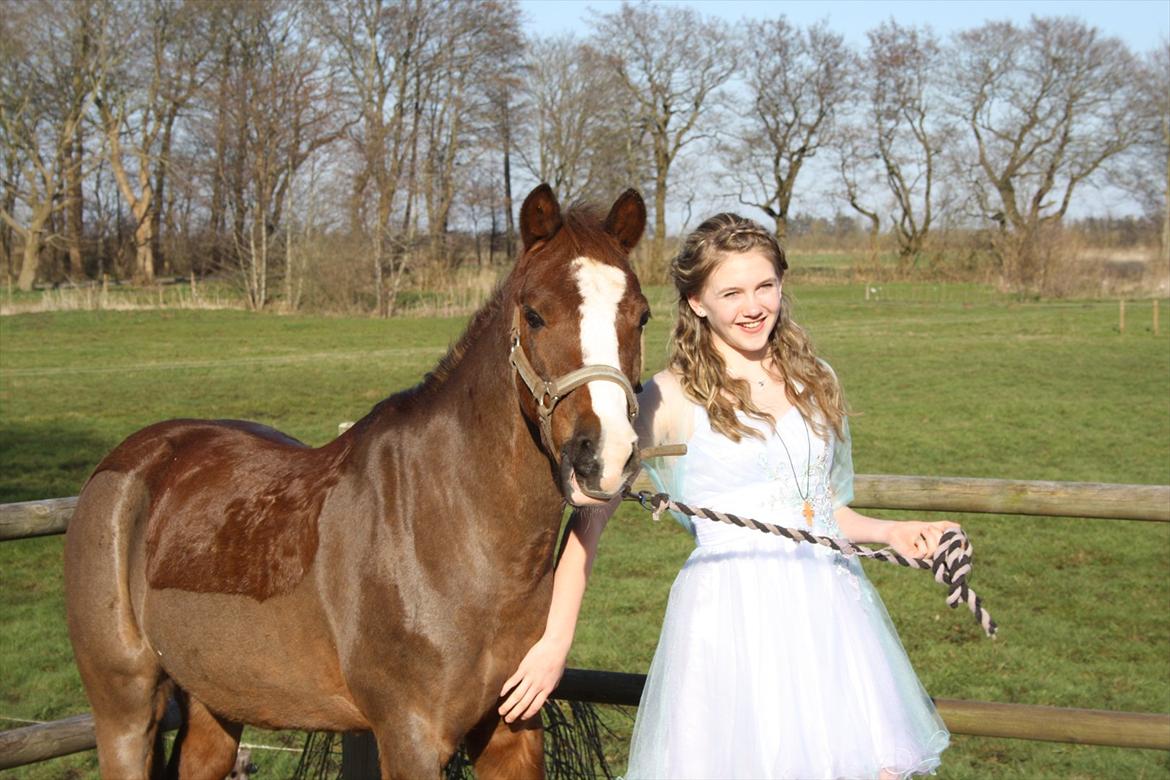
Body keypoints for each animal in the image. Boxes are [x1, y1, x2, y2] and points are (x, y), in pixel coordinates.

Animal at [66, 185, 650, 776]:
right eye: (534, 314)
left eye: (641, 316)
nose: (603, 455)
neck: (453, 532)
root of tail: (126, 467)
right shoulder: (409, 738)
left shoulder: (515, 729)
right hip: (124, 709)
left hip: (216, 699)